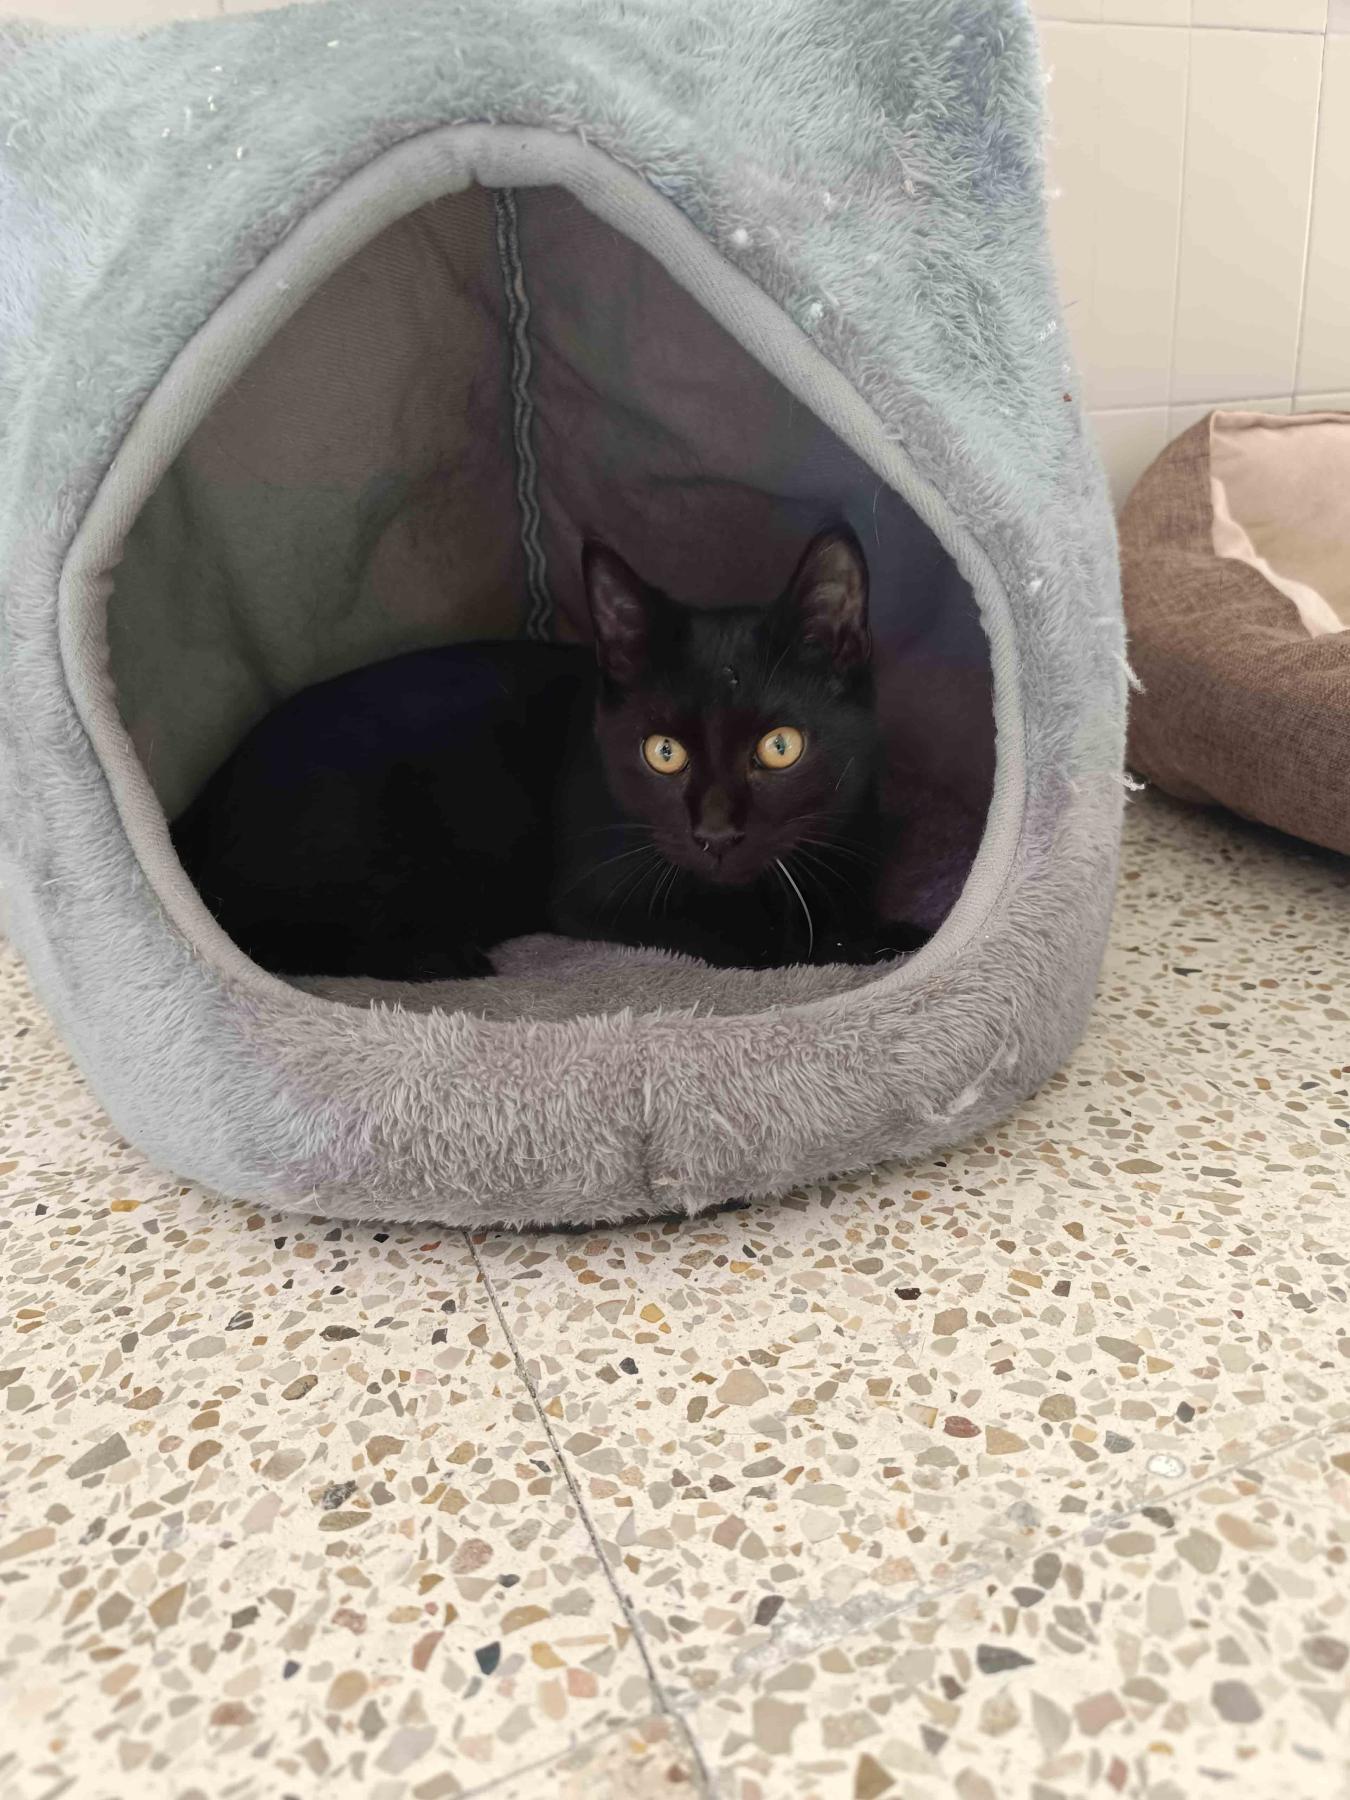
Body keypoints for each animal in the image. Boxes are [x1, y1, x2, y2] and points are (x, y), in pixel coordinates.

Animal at [171, 526, 931, 978]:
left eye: (779, 747)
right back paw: (443, 953)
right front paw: (856, 943)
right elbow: (763, 944)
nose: (714, 833)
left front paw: (888, 934)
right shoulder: (594, 893)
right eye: (663, 752)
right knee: (255, 932)